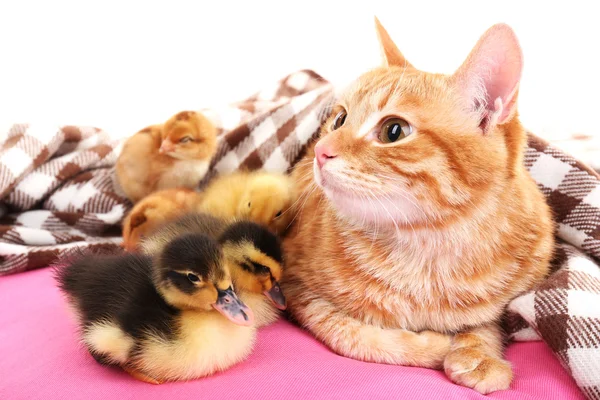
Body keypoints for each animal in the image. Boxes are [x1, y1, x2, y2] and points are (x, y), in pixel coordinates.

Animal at [282, 19, 552, 394]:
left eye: (393, 131)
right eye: (339, 119)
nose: (320, 151)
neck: (427, 249)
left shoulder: (508, 305)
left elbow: (486, 324)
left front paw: (479, 354)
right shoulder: (294, 286)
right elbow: (352, 334)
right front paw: (436, 345)